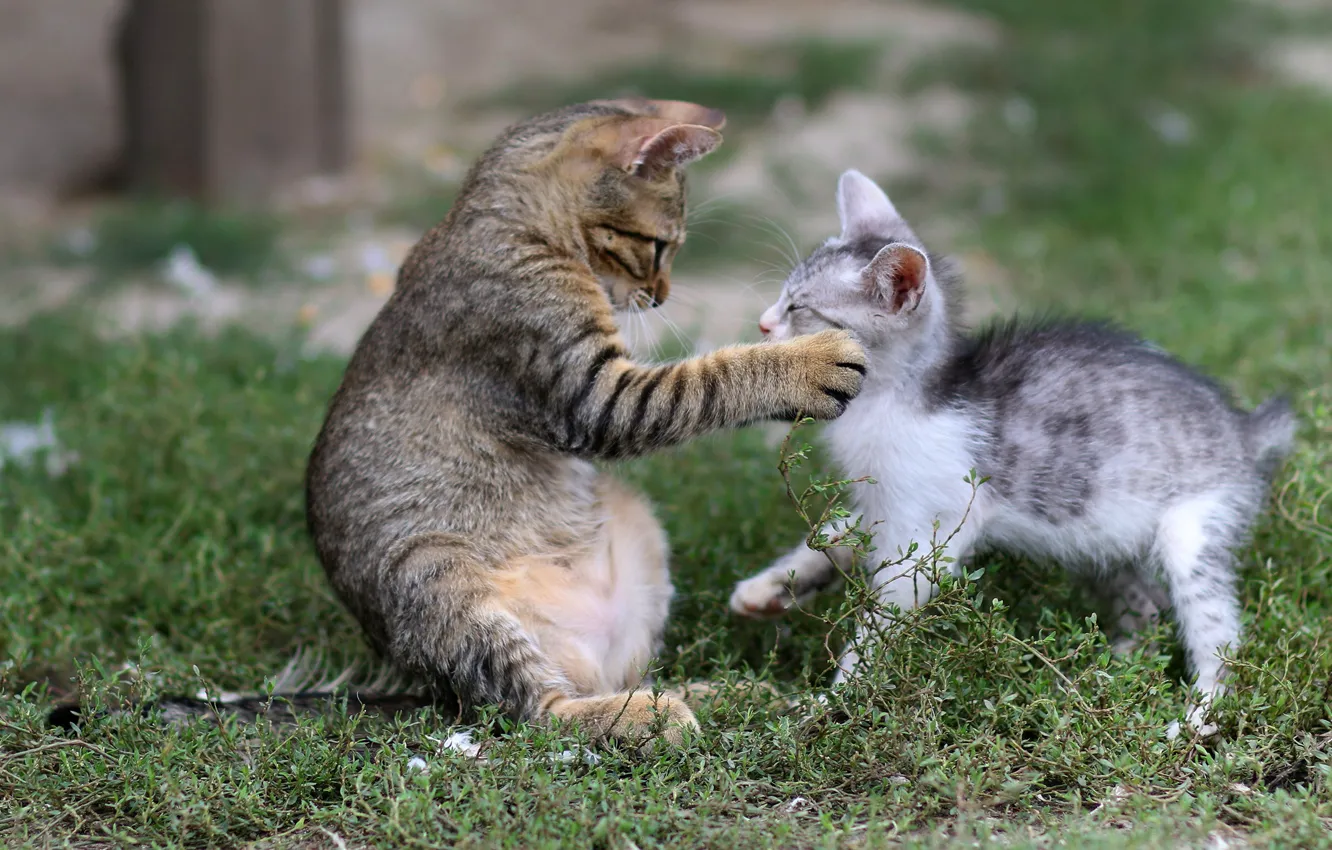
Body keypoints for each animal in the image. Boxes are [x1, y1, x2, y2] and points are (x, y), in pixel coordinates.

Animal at [735, 167, 1294, 740]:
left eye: (799, 308)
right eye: (782, 297)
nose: (762, 323)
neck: (896, 400)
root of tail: (1243, 428)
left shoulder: (925, 535)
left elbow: (876, 628)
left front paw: (829, 702)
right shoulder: (881, 506)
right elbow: (829, 539)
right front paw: (768, 588)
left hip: (1192, 530)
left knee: (1219, 633)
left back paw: (1199, 715)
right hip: (1100, 538)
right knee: (1147, 606)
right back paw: (1108, 670)